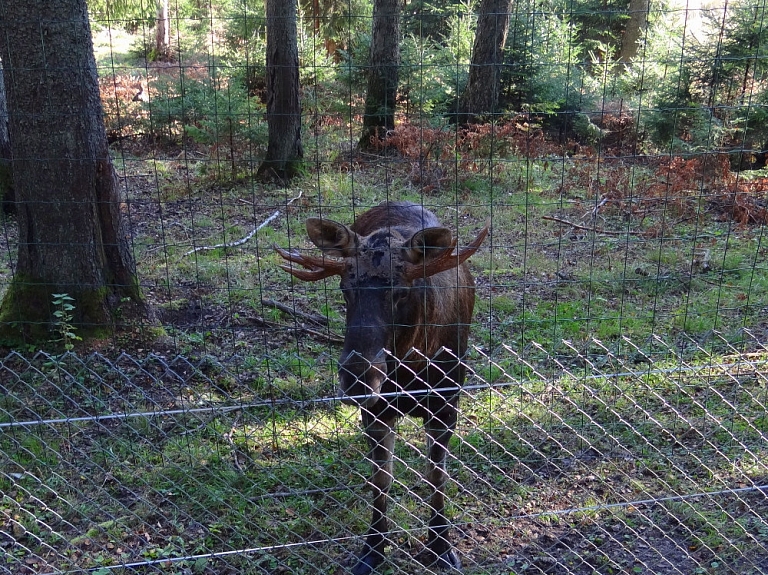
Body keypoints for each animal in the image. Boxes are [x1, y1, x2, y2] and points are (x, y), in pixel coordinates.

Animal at [278, 202, 486, 575]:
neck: (409, 370)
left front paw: (441, 546)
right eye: (345, 289)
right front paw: (373, 549)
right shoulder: (375, 412)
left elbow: (436, 477)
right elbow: (381, 481)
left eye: (401, 291)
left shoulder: (446, 406)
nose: (359, 376)